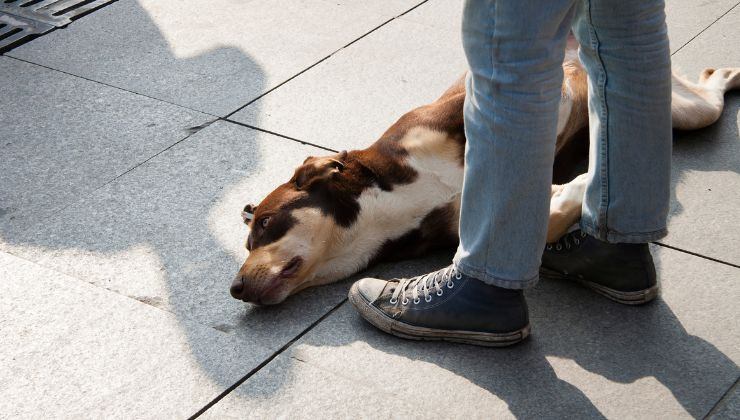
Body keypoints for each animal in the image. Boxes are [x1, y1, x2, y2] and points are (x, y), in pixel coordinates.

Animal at [228, 47, 736, 306]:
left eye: (266, 225)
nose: (235, 289)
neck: (387, 206)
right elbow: (547, 216)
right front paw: (574, 188)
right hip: (682, 111)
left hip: (687, 112)